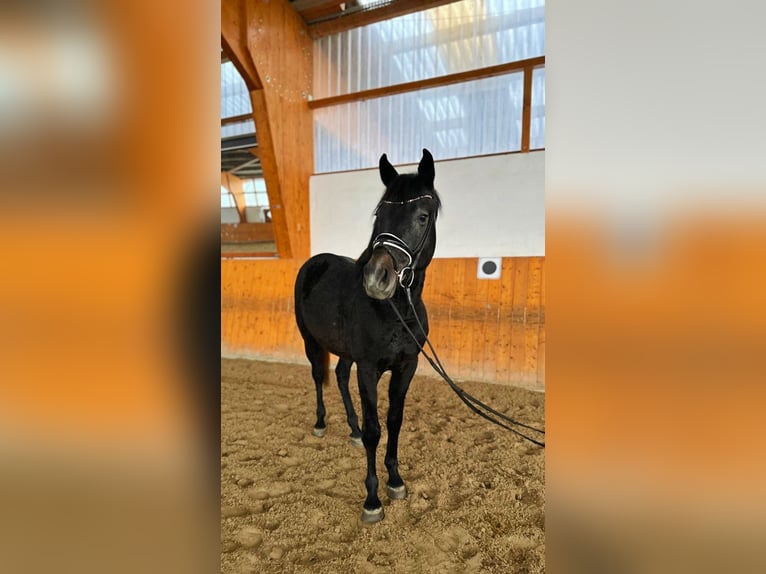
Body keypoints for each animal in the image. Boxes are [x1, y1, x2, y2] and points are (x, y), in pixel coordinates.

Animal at [296, 150, 444, 528]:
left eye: (423, 216)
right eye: (380, 214)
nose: (378, 277)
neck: (395, 311)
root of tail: (314, 262)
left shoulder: (406, 367)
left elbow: (394, 421)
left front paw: (396, 481)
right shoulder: (368, 369)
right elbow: (375, 429)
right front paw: (373, 500)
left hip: (346, 353)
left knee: (338, 376)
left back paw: (351, 431)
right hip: (311, 342)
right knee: (318, 377)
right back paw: (321, 424)